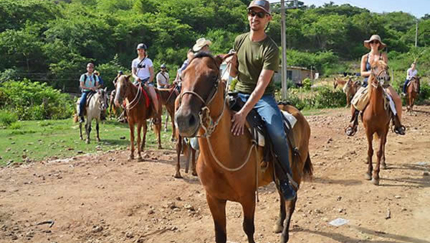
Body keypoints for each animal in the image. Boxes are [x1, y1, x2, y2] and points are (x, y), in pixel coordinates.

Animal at [175, 53, 312, 243]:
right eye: (182, 76)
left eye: (213, 77)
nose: (183, 119)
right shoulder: (213, 199)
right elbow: (220, 235)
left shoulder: (248, 198)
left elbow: (248, 228)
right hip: (278, 175)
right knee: (281, 193)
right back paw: (279, 223)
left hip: (296, 171)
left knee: (291, 199)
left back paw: (284, 234)